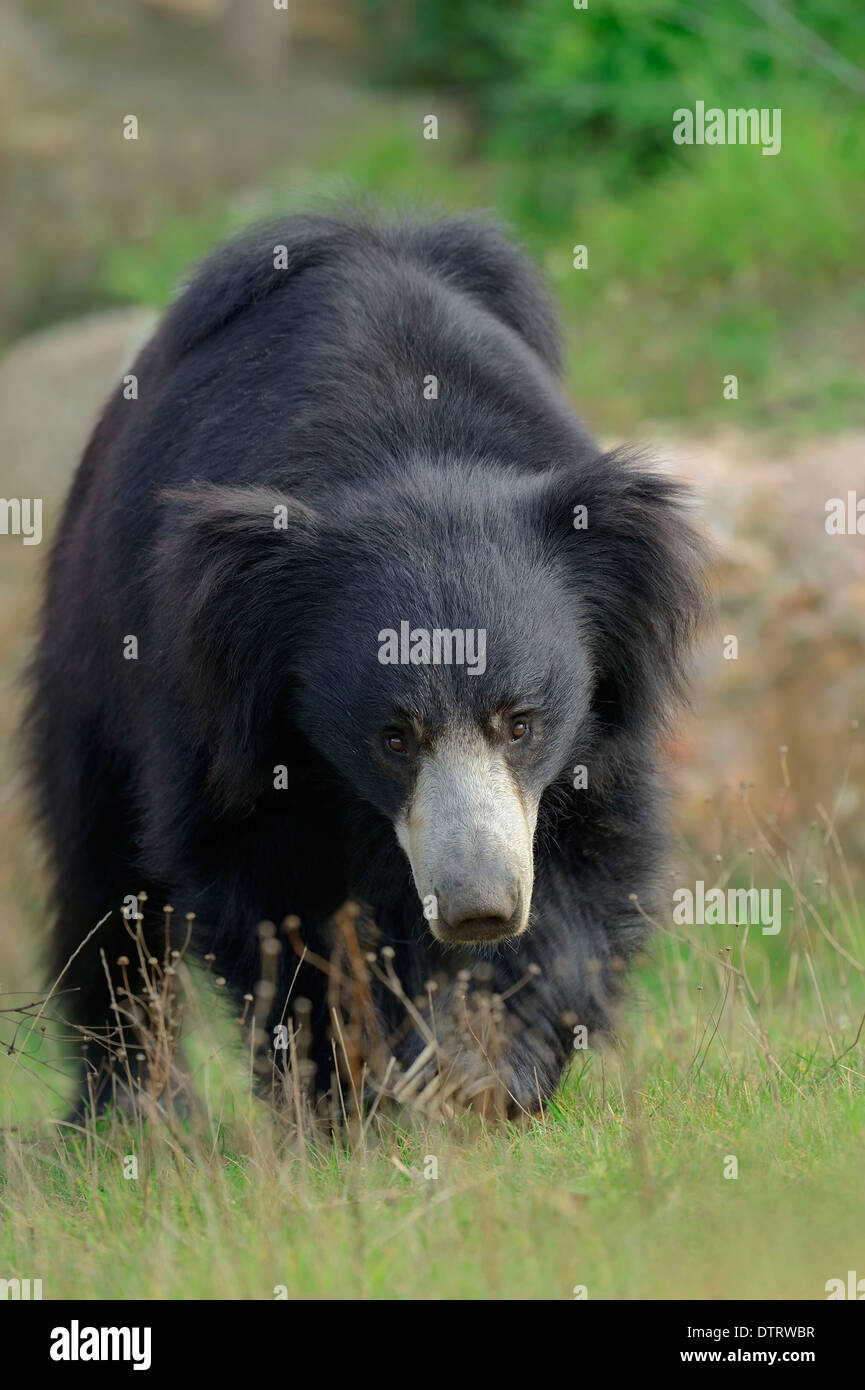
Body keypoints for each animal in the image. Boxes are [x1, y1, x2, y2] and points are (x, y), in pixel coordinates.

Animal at [27, 208, 709, 1117]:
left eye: (520, 724)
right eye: (393, 737)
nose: (479, 908)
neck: (404, 447)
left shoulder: (600, 716)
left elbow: (587, 858)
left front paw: (490, 1071)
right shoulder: (216, 698)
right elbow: (259, 878)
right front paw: (354, 1092)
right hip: (88, 649)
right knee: (104, 876)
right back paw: (128, 1112)